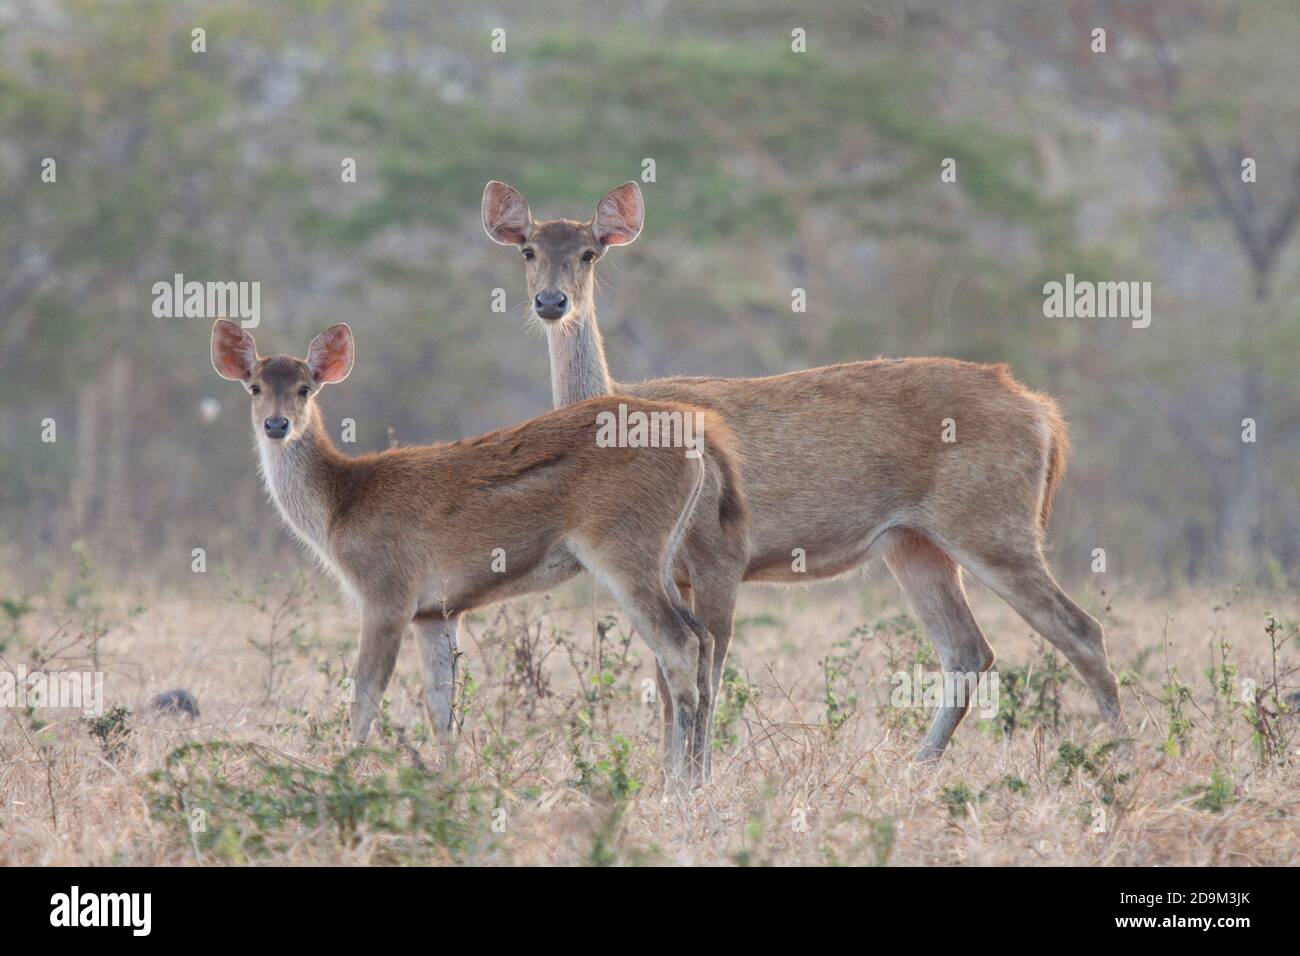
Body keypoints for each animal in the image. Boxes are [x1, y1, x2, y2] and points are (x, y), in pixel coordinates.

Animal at [208, 321, 748, 785]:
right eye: (254, 386)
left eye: (305, 388)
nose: (277, 424)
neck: (341, 505)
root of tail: (699, 438)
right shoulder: (435, 612)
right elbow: (440, 706)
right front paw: (450, 778)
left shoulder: (387, 594)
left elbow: (365, 695)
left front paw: (343, 770)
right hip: (660, 559)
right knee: (705, 642)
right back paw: (695, 778)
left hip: (625, 549)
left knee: (681, 646)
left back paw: (680, 787)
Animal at [483, 180, 1123, 764]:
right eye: (529, 250)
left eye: (590, 252)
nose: (551, 303)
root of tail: (1043, 413)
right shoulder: (677, 572)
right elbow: (670, 683)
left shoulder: (721, 553)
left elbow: (707, 670)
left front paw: (697, 782)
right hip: (912, 541)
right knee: (968, 651)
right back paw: (918, 766)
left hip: (991, 523)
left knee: (1081, 630)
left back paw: (1121, 756)